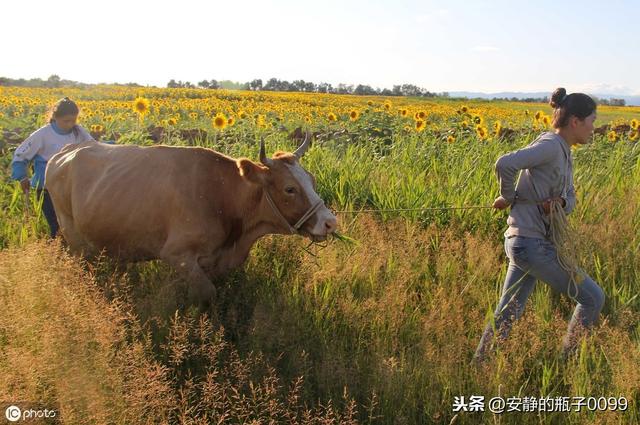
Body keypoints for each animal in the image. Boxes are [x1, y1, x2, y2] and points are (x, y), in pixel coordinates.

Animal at [45, 134, 338, 310]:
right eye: (290, 189)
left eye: (311, 180)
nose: (330, 222)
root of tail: (67, 151)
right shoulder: (178, 255)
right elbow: (208, 294)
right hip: (74, 238)